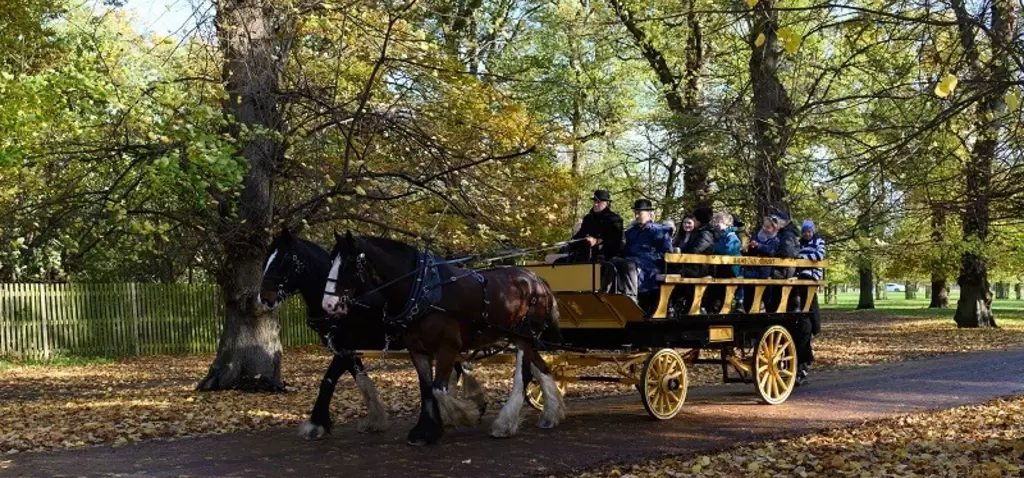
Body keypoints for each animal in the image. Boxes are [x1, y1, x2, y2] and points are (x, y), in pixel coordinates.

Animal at [319, 234, 565, 446]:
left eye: (348, 263)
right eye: (331, 261)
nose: (328, 305)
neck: (422, 290)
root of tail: (537, 280)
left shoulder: (447, 348)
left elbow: (439, 389)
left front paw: (466, 414)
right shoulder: (417, 350)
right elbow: (427, 388)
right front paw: (425, 431)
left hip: (523, 336)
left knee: (523, 375)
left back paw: (505, 424)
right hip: (522, 337)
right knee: (543, 368)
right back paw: (551, 414)